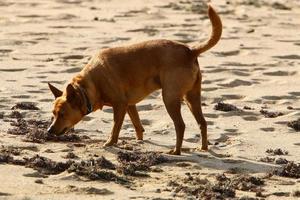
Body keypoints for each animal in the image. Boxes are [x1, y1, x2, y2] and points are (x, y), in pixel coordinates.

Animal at [47, 4, 220, 155]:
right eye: (53, 114)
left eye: (62, 114)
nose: (49, 131)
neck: (88, 86)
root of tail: (190, 51)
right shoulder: (130, 105)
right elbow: (138, 126)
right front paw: (139, 141)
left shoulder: (120, 105)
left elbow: (115, 128)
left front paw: (110, 143)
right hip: (191, 97)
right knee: (202, 122)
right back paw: (203, 148)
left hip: (170, 98)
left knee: (181, 125)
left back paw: (176, 151)